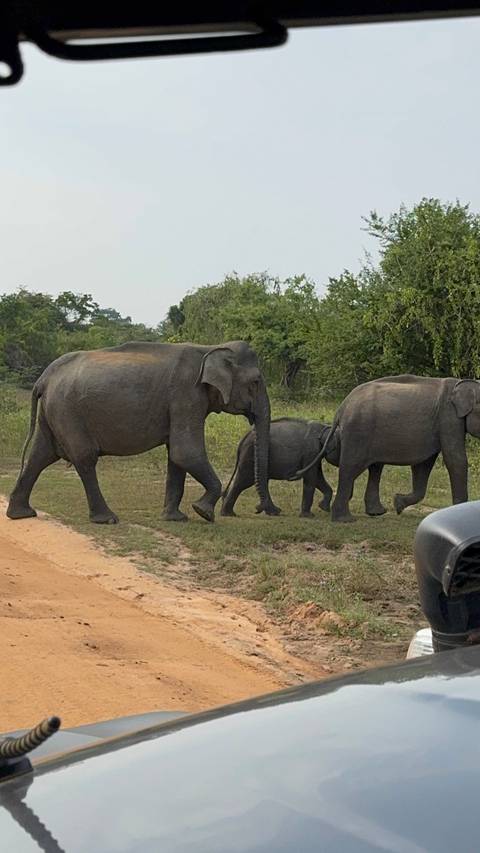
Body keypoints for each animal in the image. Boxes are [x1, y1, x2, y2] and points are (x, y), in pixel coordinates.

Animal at [7, 340, 280, 525]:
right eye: (256, 382)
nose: (266, 510)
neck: (211, 348)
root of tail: (44, 377)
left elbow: (176, 457)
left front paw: (176, 518)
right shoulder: (186, 395)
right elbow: (185, 452)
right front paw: (203, 512)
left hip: (54, 412)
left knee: (41, 455)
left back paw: (21, 514)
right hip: (68, 411)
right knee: (83, 457)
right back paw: (107, 519)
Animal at [290, 374, 480, 523]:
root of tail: (342, 408)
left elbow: (423, 465)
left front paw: (398, 505)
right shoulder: (449, 418)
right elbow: (455, 459)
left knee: (374, 467)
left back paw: (375, 512)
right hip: (359, 431)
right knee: (350, 468)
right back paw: (345, 519)